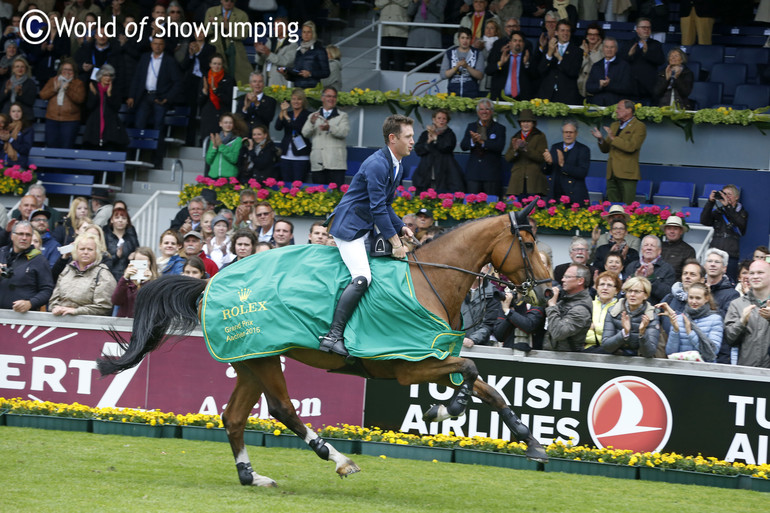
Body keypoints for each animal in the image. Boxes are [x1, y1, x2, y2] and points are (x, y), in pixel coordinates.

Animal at [96, 202, 552, 486]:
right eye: (529, 245)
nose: (548, 293)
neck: (430, 281)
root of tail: (209, 283)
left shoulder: (435, 353)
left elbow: (490, 389)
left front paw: (530, 442)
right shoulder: (410, 365)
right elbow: (472, 371)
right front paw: (443, 409)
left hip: (251, 358)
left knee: (234, 417)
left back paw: (252, 476)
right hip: (263, 359)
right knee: (282, 409)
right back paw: (339, 459)